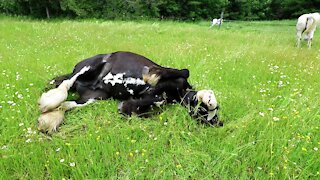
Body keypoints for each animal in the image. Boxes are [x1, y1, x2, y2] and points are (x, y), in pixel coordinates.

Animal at [38, 51, 222, 133]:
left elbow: (148, 103)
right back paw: (48, 101)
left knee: (67, 104)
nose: (213, 119)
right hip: (93, 63)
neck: (176, 93)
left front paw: (127, 107)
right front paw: (151, 76)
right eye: (205, 110)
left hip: (96, 96)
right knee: (66, 84)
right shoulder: (173, 75)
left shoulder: (150, 99)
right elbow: (183, 71)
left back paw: (49, 119)